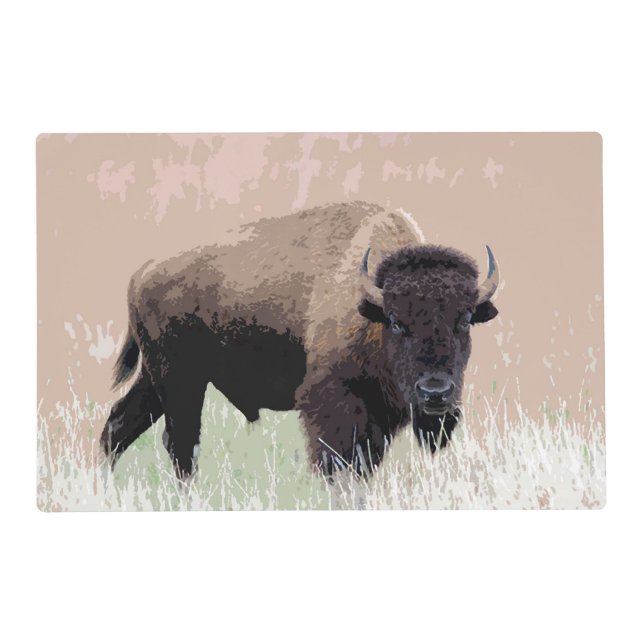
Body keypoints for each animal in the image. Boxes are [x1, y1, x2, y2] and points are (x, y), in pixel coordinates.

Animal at [101, 201, 499, 479]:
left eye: (465, 320)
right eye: (397, 322)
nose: (435, 392)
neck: (368, 302)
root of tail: (143, 271)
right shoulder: (334, 406)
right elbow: (338, 464)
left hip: (157, 379)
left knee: (118, 427)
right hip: (180, 381)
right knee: (180, 445)